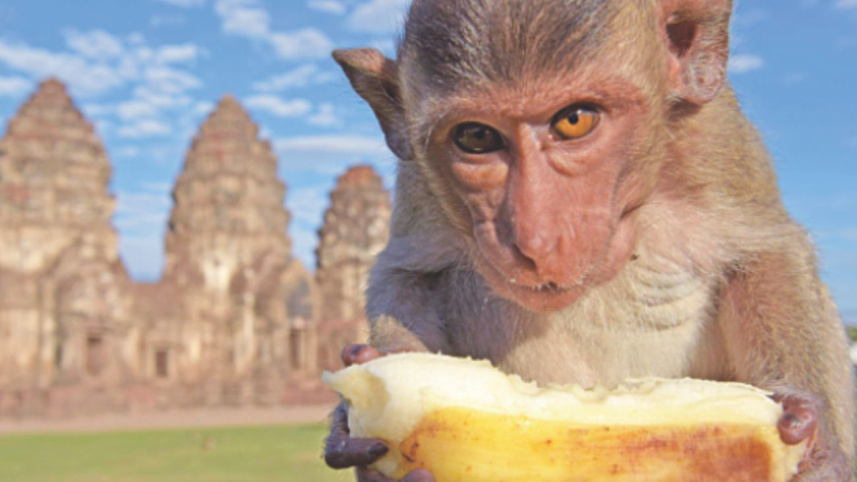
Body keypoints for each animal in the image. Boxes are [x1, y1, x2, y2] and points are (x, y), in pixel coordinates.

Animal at [323, 0, 856, 480]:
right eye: (476, 137)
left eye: (574, 120)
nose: (536, 238)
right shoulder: (418, 180)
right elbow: (407, 270)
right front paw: (367, 408)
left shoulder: (718, 137)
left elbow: (765, 251)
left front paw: (818, 453)